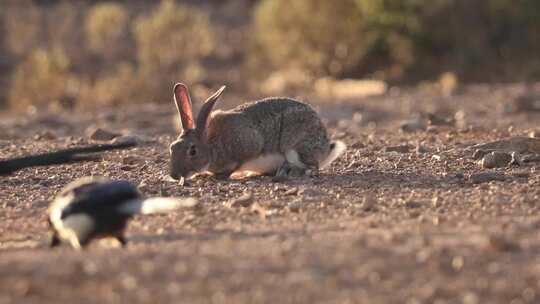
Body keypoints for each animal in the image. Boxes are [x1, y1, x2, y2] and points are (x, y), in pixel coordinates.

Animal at [169, 82, 346, 179]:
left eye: (192, 151)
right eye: (172, 148)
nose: (174, 176)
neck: (211, 144)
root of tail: (325, 149)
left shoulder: (249, 145)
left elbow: (236, 164)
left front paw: (217, 176)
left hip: (294, 146)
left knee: (312, 166)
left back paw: (290, 172)